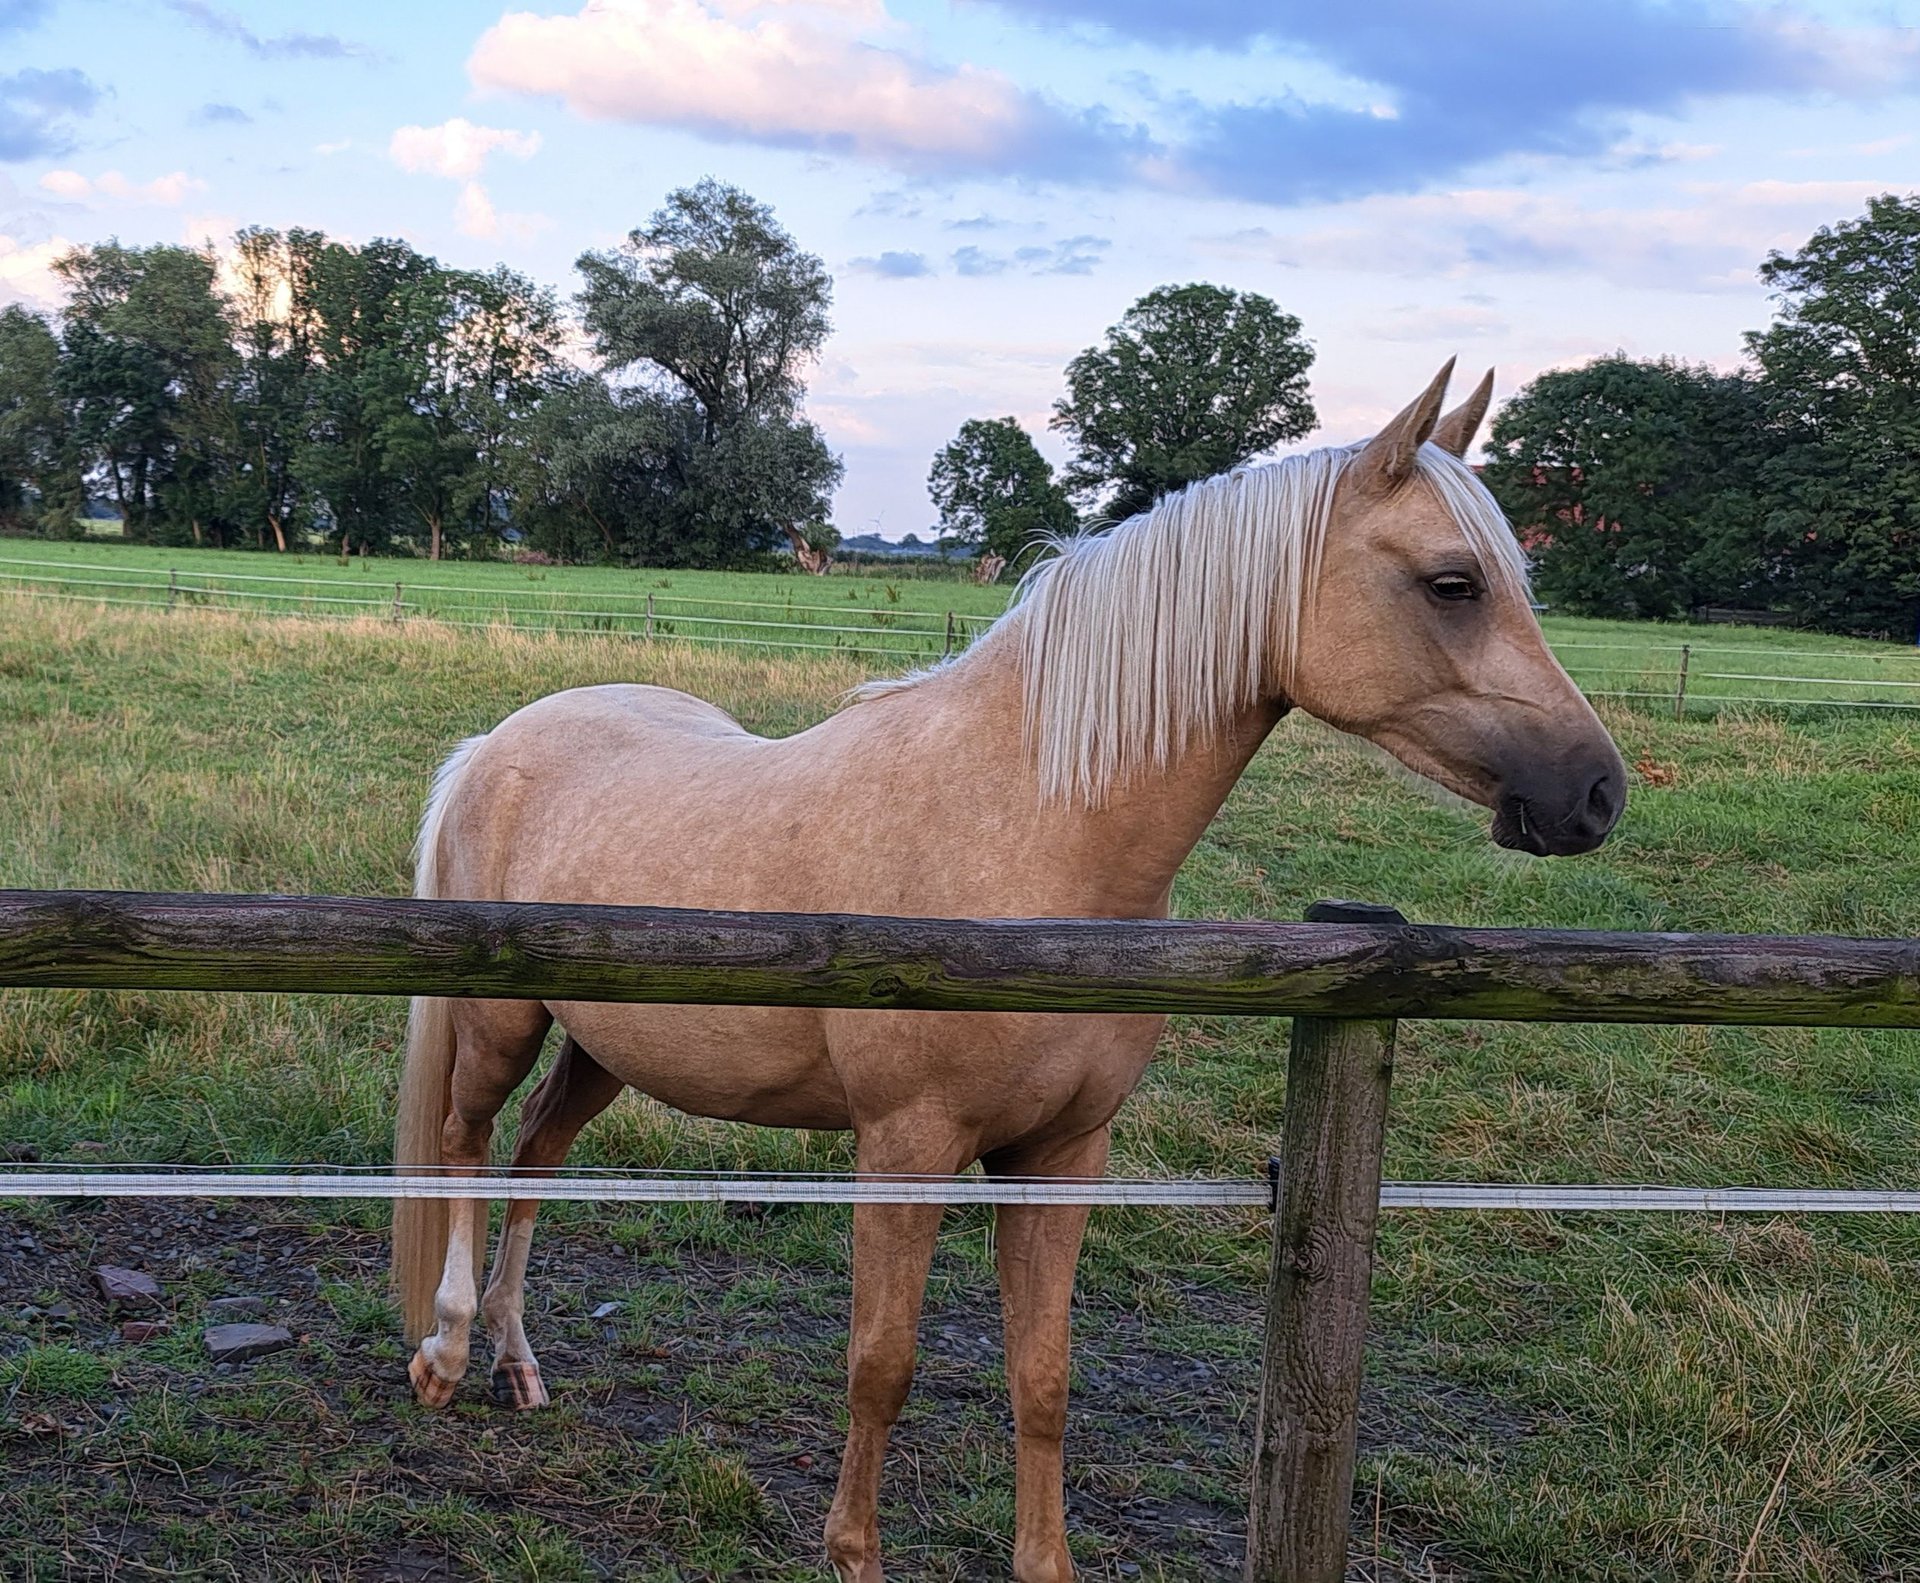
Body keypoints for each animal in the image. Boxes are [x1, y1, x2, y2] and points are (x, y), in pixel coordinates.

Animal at [389, 361, 1620, 1583]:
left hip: (603, 1041)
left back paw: (518, 1361)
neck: (1027, 835)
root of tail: (497, 742)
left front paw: (1043, 1559)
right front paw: (853, 1554)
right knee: (464, 1141)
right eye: (1454, 582)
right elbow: (882, 1363)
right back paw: (444, 1353)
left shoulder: (1063, 1153)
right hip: (500, 1021)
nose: (1597, 794)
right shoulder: (905, 1147)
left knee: (535, 1157)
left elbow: (1043, 1375)